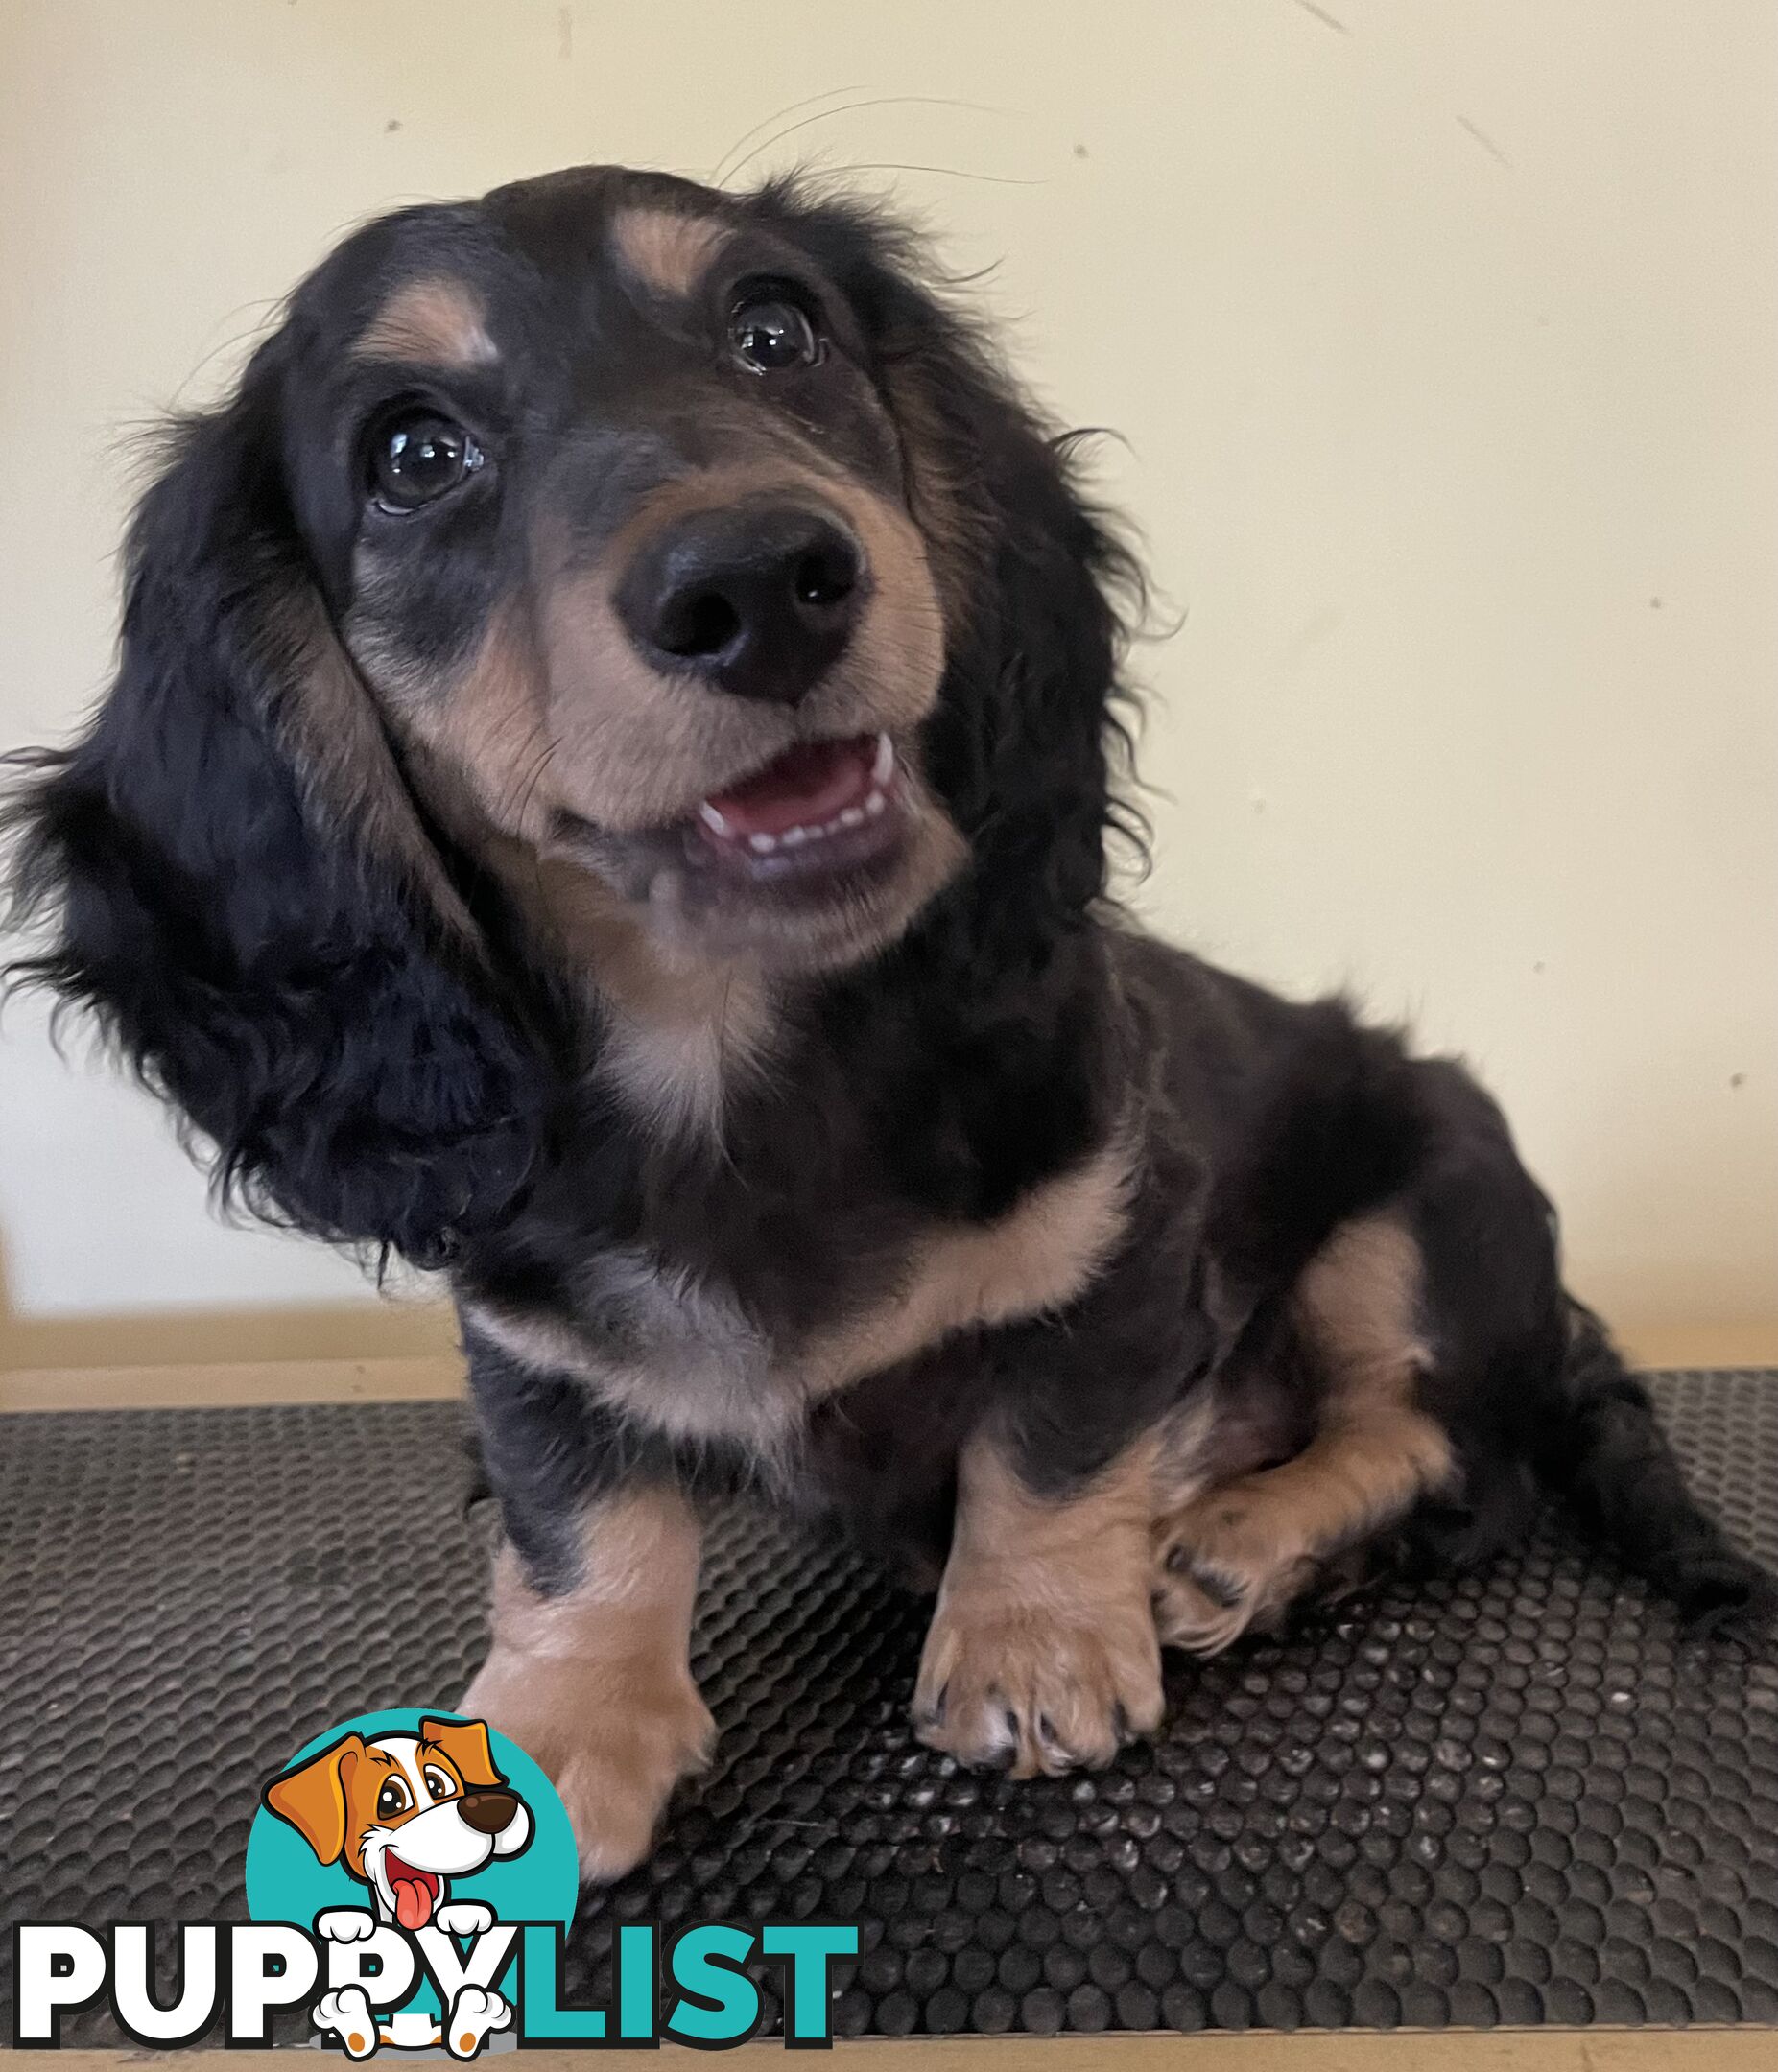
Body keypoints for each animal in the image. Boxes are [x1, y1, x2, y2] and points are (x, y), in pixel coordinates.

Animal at [7, 161, 1766, 1881]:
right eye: (413, 455)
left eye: (773, 331)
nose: (758, 582)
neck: (735, 1061)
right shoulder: (532, 1347)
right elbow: (581, 1525)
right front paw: (558, 1718)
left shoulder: (1119, 1237)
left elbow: (1049, 1446)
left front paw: (1035, 1643)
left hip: (1421, 1200)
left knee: (1441, 1451)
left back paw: (1237, 1545)